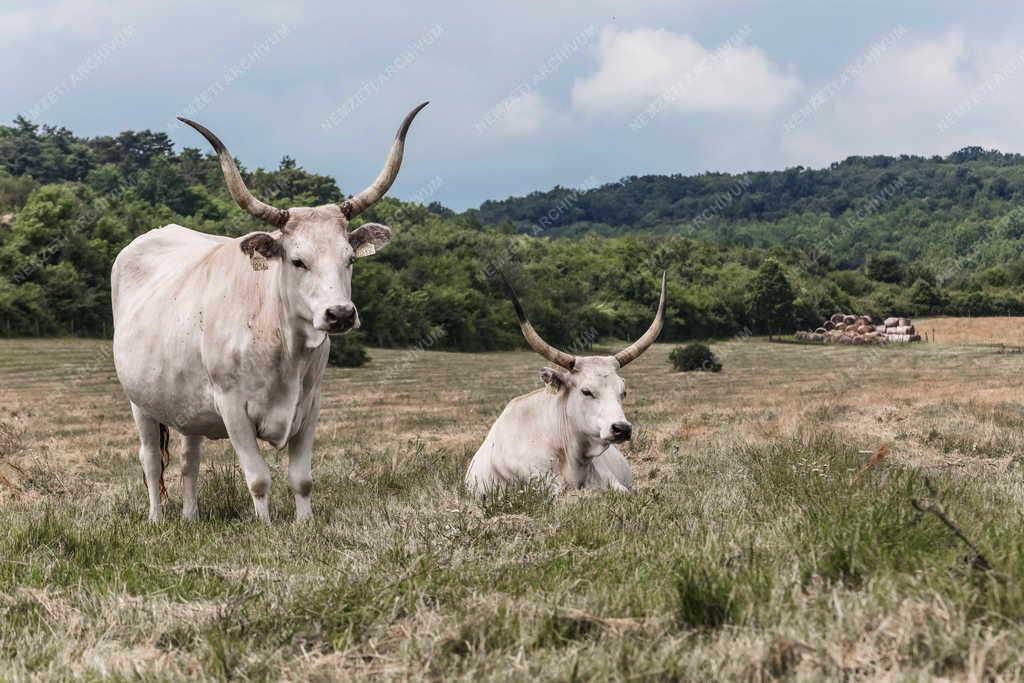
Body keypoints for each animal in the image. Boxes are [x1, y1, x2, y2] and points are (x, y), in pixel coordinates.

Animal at [112, 102, 428, 524]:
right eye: (298, 261)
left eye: (349, 259)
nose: (340, 314)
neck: (283, 345)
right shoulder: (232, 408)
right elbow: (258, 478)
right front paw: (264, 525)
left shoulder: (310, 405)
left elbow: (302, 478)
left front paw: (305, 523)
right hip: (140, 403)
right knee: (150, 461)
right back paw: (156, 520)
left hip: (186, 406)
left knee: (188, 460)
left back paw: (191, 518)